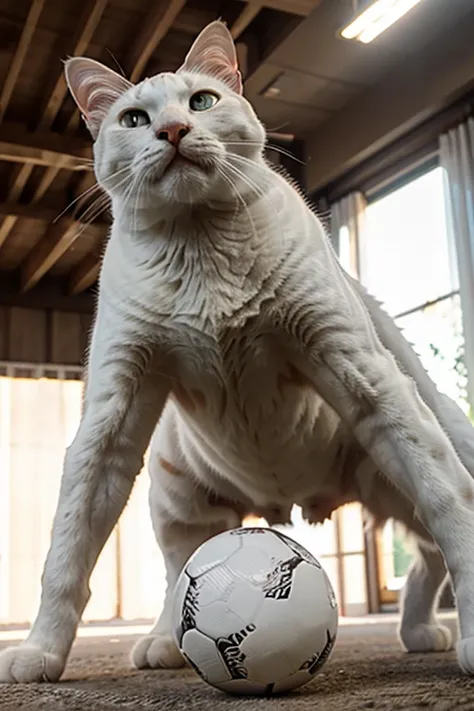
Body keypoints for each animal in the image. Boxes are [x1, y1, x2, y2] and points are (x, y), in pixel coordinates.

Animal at [0, 19, 474, 680]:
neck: (200, 245)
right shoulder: (110, 416)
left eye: (202, 102)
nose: (173, 130)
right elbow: (66, 554)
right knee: (180, 573)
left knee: (431, 534)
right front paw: (41, 651)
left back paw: (418, 630)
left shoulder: (359, 371)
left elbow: (451, 510)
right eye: (134, 119)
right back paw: (165, 642)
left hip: (406, 456)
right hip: (177, 499)